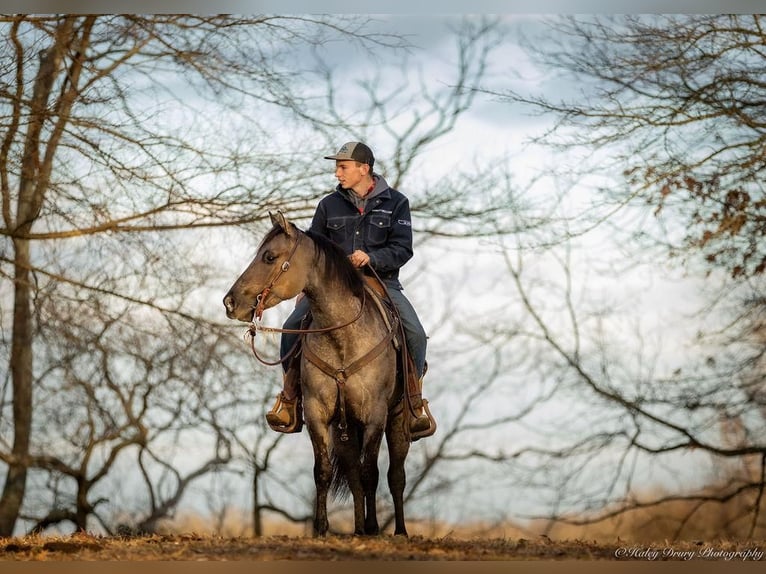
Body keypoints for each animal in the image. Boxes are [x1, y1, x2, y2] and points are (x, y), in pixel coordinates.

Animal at [224, 213, 414, 540]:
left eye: (269, 256)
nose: (230, 303)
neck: (342, 336)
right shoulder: (317, 413)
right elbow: (323, 471)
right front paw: (321, 528)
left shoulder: (375, 415)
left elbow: (372, 473)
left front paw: (375, 528)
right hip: (345, 428)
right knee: (352, 473)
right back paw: (358, 529)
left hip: (398, 420)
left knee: (395, 476)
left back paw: (397, 531)